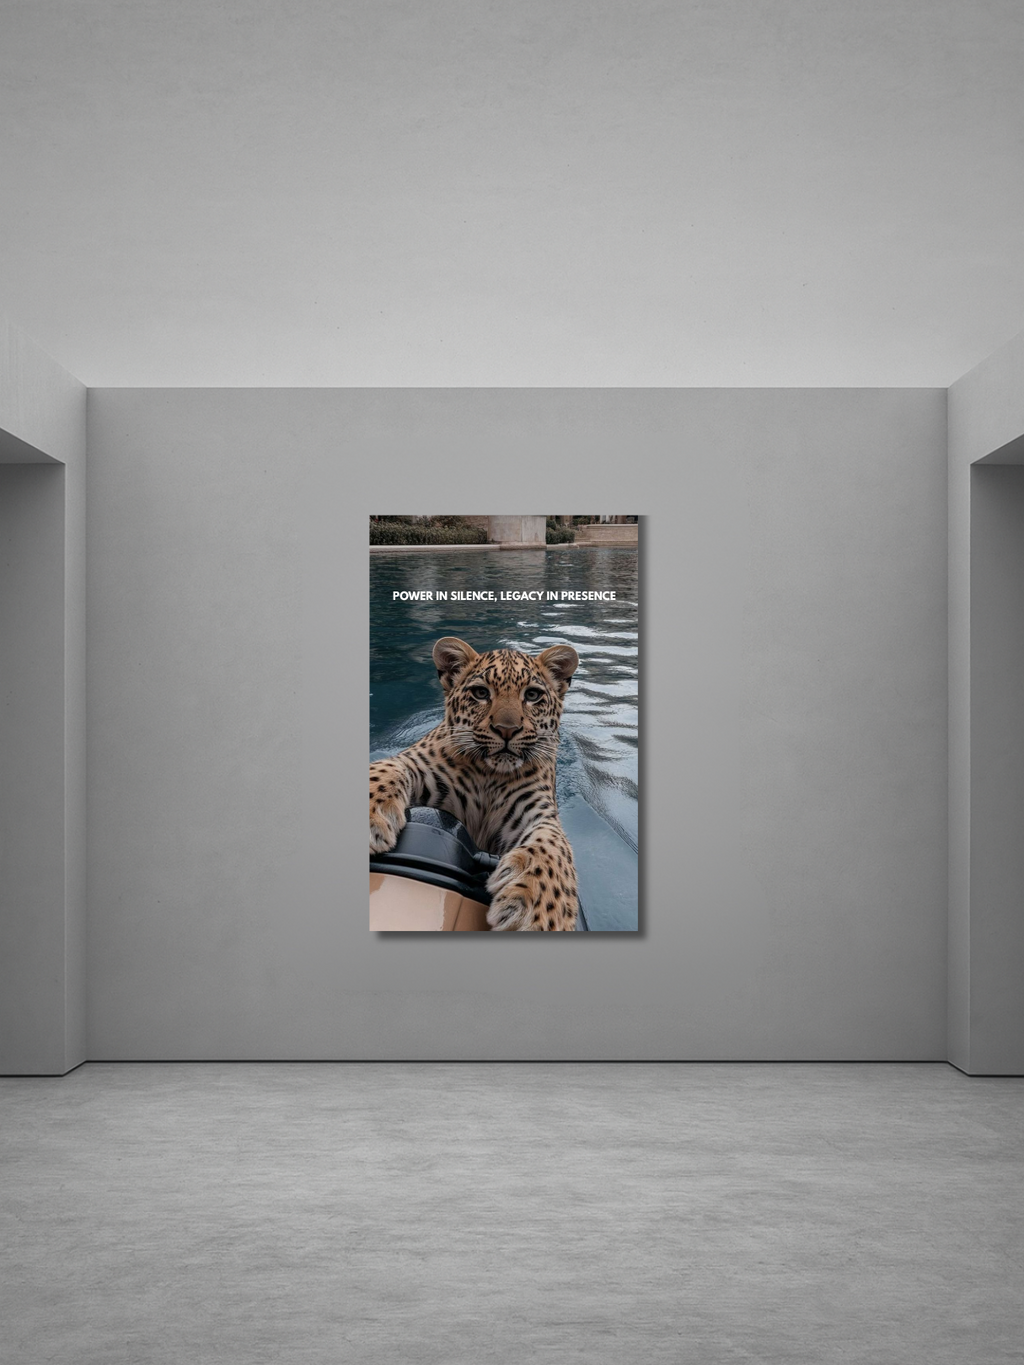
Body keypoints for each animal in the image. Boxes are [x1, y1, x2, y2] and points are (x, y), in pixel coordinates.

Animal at [369, 636, 580, 931]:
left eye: (532, 695)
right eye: (481, 693)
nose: (507, 730)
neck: (490, 776)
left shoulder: (537, 810)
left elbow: (554, 845)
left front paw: (539, 911)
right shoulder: (417, 765)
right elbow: (387, 768)